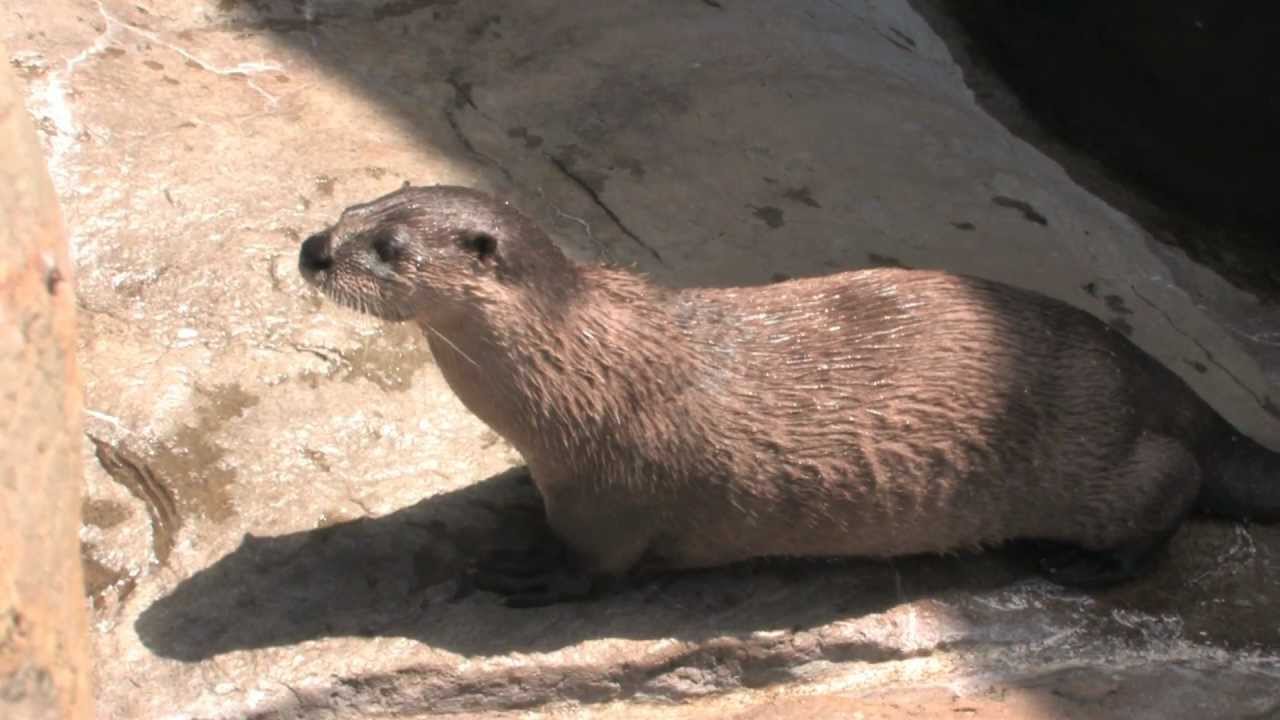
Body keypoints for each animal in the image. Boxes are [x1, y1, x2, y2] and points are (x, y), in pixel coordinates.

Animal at [299, 185, 1280, 606]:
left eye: (388, 248)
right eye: (349, 212)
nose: (314, 249)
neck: (575, 373)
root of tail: (1159, 379)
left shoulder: (615, 496)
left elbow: (595, 568)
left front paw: (528, 571)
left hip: (1098, 458)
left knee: (1173, 489)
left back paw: (1088, 566)